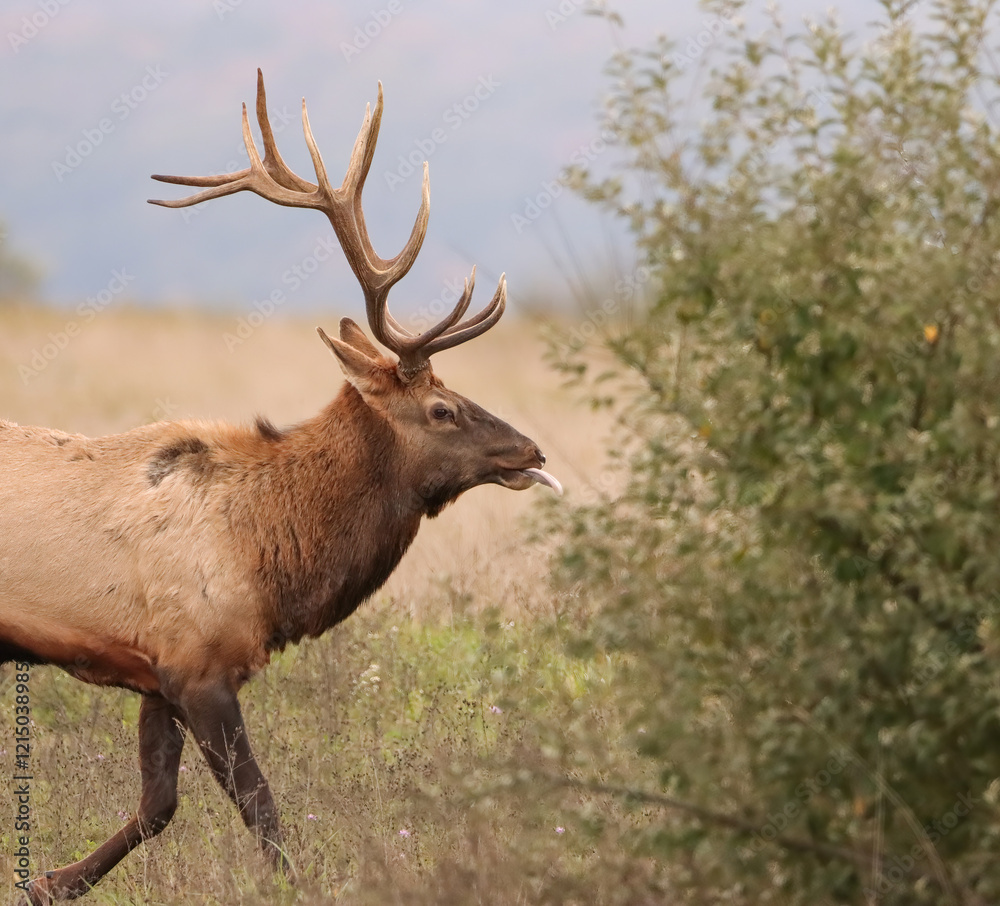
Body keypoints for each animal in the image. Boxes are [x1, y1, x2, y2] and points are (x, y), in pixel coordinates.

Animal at [2, 70, 561, 904]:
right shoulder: (197, 663)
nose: (530, 449)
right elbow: (259, 806)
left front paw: (49, 879)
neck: (270, 556)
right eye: (443, 408)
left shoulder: (156, 670)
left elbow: (157, 806)